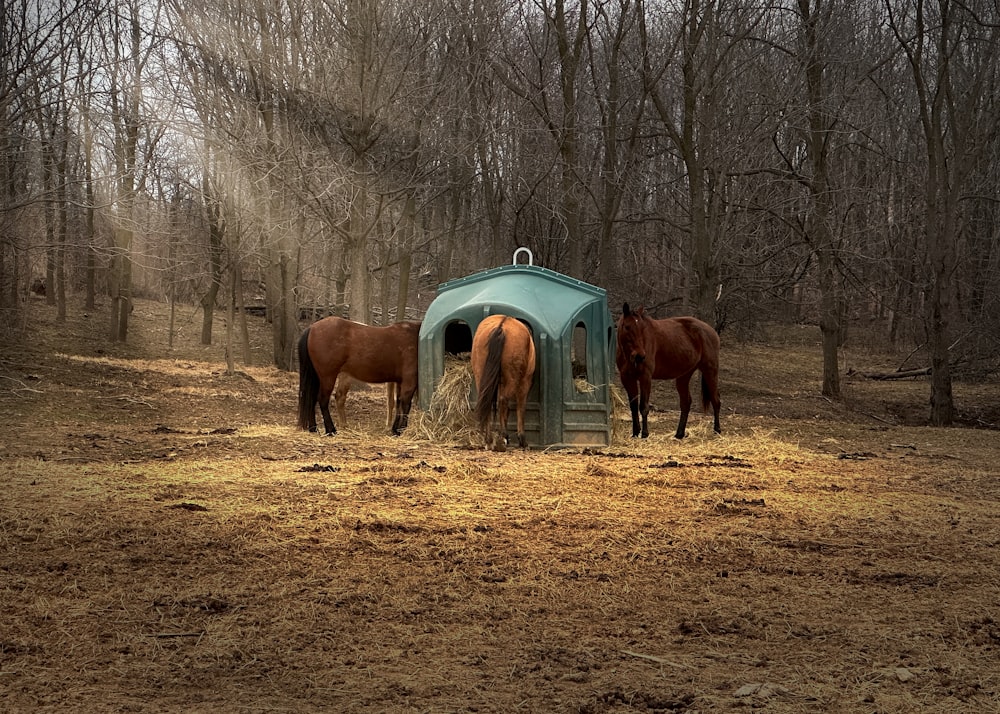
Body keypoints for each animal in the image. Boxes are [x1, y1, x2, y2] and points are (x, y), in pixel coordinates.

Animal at [470, 314, 536, 448]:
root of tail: (501, 326)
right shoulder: (525, 382)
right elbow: (521, 408)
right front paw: (522, 439)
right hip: (513, 378)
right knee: (503, 401)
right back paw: (503, 437)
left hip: (480, 376)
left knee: (487, 402)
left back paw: (489, 440)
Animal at [612, 302, 724, 436]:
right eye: (627, 327)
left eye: (642, 328)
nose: (640, 356)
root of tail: (712, 331)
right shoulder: (627, 379)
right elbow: (633, 406)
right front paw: (635, 433)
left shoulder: (645, 377)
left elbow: (643, 407)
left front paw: (644, 434)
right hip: (684, 376)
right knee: (686, 402)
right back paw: (679, 434)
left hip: (710, 371)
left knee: (716, 400)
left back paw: (717, 430)